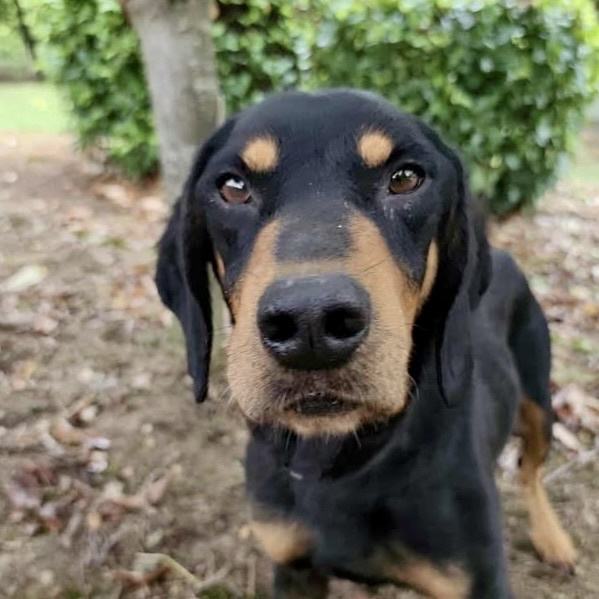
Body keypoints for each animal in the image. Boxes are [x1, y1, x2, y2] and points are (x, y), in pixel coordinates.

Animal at [155, 89, 576, 598]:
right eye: (232, 186)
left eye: (406, 178)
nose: (311, 323)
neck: (342, 456)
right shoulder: (292, 566)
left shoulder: (477, 581)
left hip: (539, 400)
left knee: (531, 470)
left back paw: (552, 537)